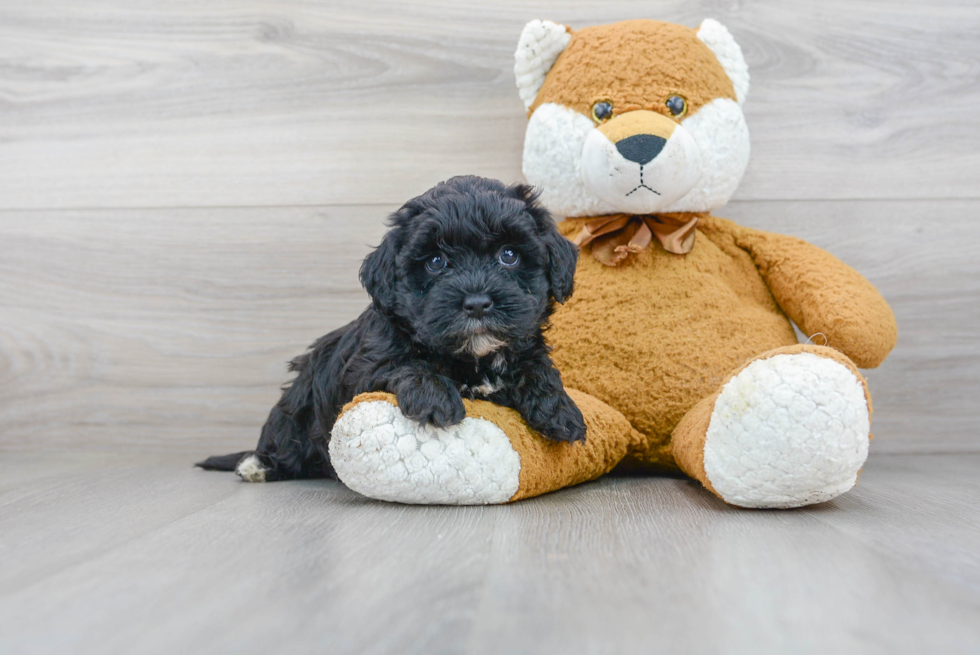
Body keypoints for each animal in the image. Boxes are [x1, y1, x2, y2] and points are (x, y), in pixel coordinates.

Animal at [195, 174, 584, 482]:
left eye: (508, 255)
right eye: (436, 262)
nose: (476, 303)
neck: (474, 357)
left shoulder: (524, 344)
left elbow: (537, 367)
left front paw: (559, 409)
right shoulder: (364, 368)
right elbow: (405, 364)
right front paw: (435, 397)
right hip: (295, 408)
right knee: (283, 444)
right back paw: (256, 466)